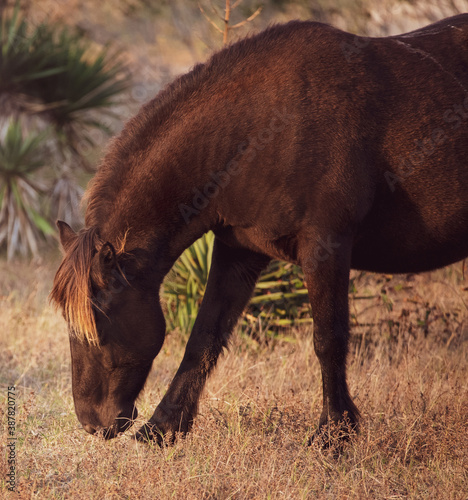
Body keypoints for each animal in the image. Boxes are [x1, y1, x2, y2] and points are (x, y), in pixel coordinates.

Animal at [50, 14, 468, 446]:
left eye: (101, 321)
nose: (92, 422)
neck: (264, 132)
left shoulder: (327, 247)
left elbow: (328, 339)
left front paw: (333, 435)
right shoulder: (239, 252)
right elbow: (204, 337)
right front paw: (163, 428)